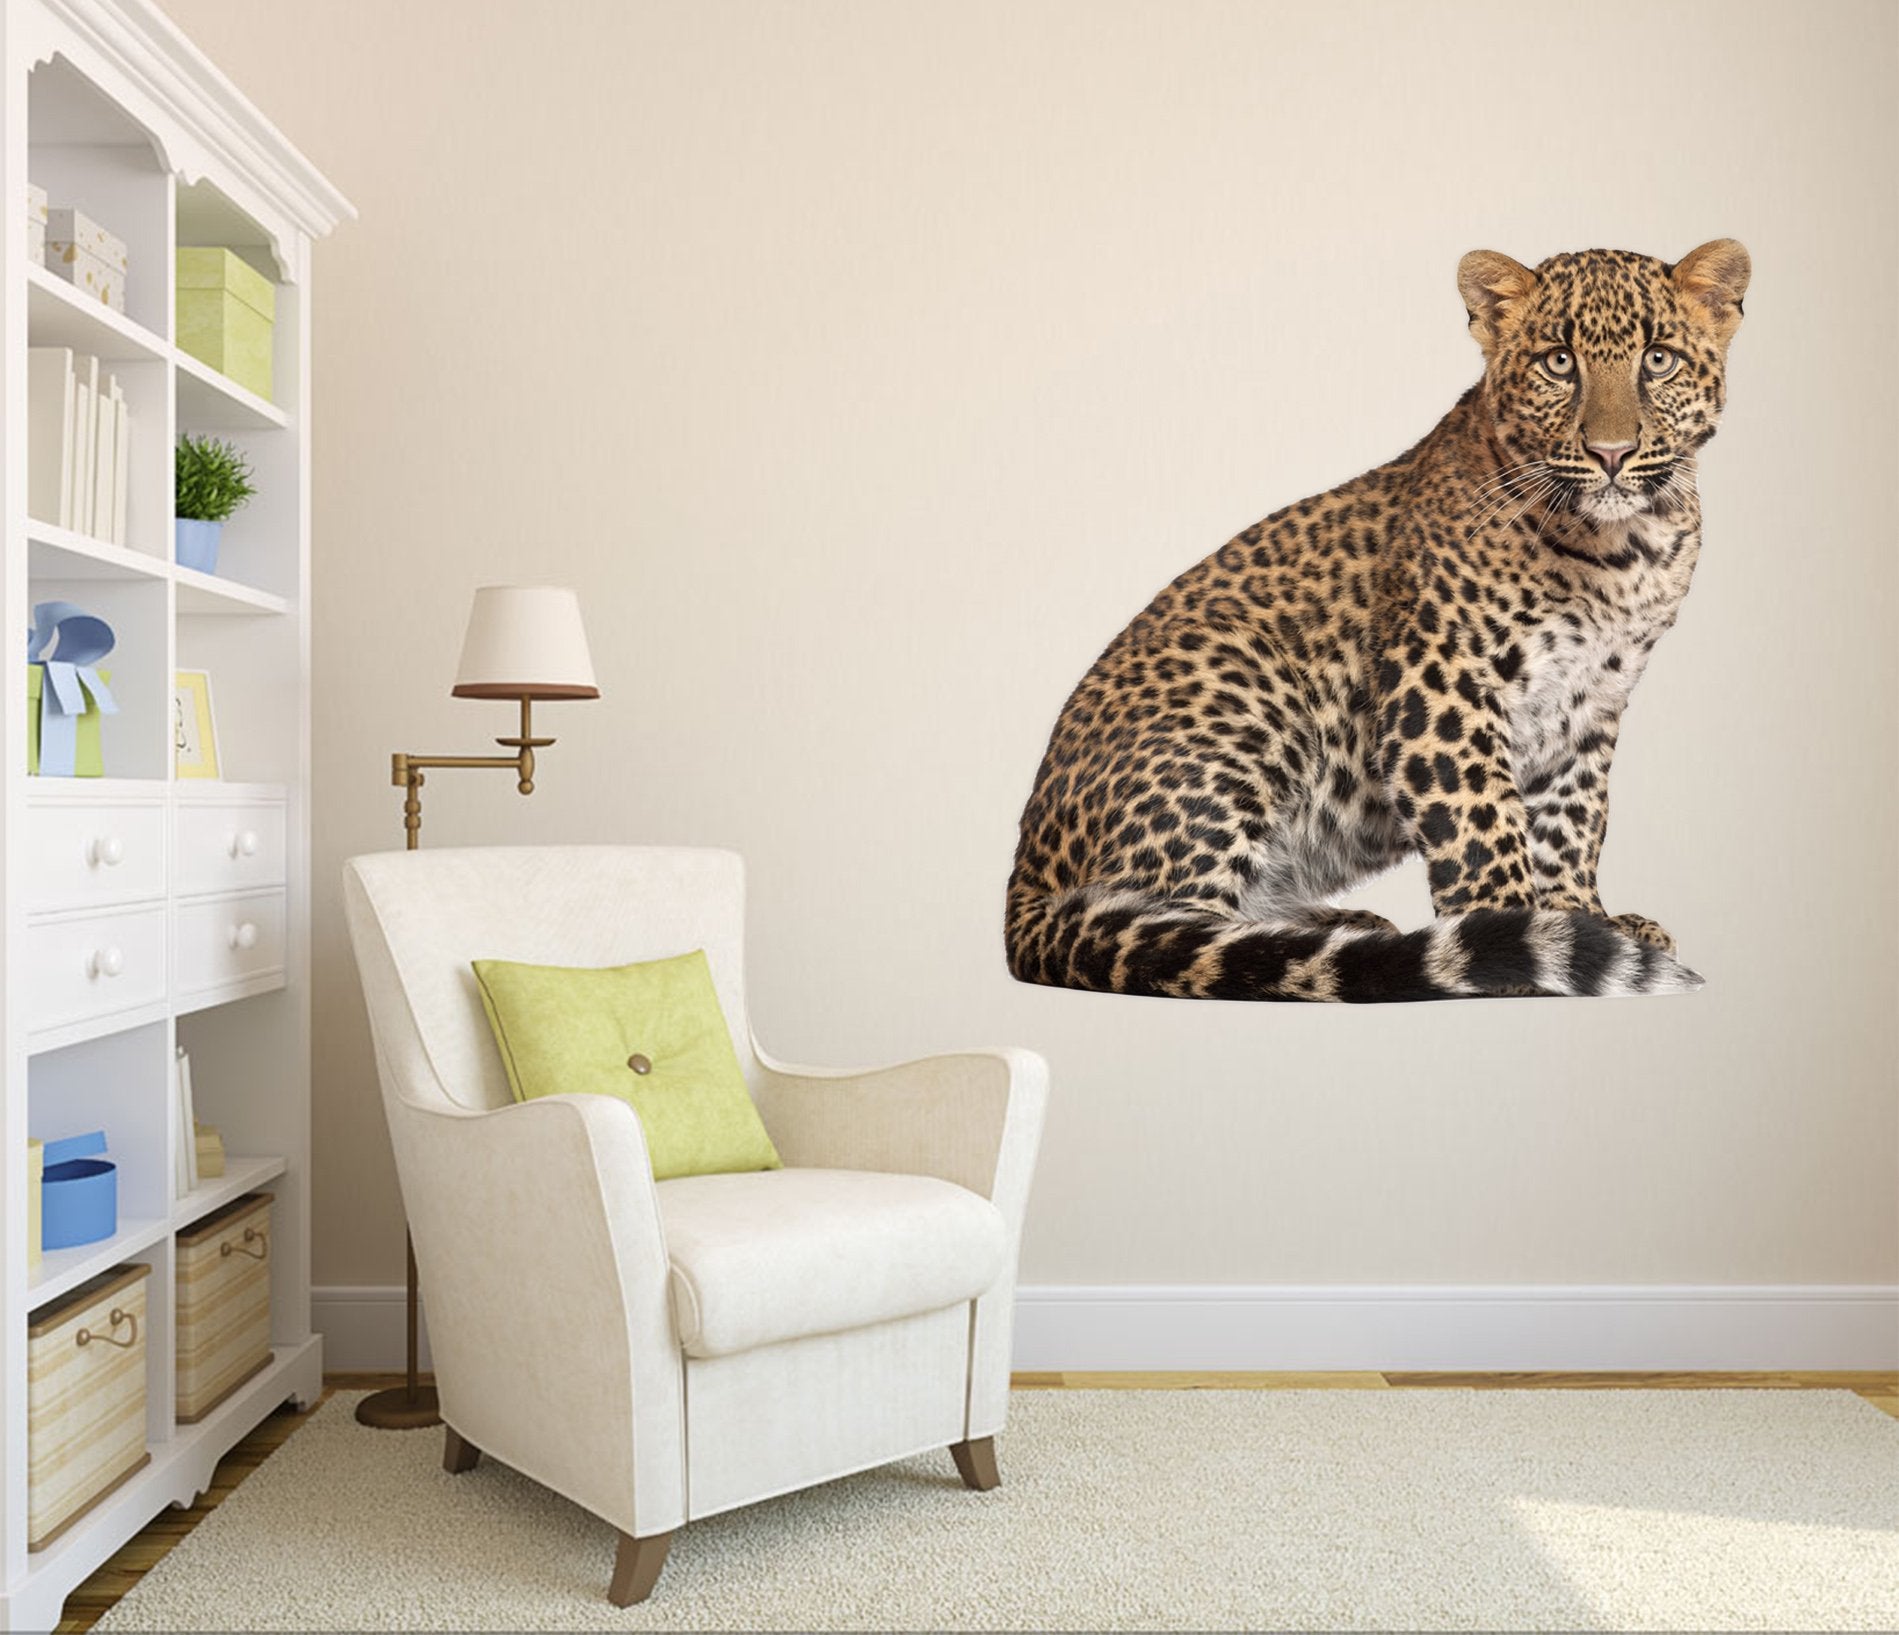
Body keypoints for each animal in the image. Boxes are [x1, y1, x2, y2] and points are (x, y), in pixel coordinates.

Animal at [1005, 240, 1750, 1002]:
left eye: (1657, 359)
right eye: (1557, 362)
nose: (1611, 453)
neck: (1624, 551)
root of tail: (1023, 882)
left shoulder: (1590, 702)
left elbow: (1573, 818)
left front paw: (1581, 918)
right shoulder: (1441, 679)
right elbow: (1481, 815)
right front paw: (1517, 931)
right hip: (1246, 685)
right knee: (1167, 934)